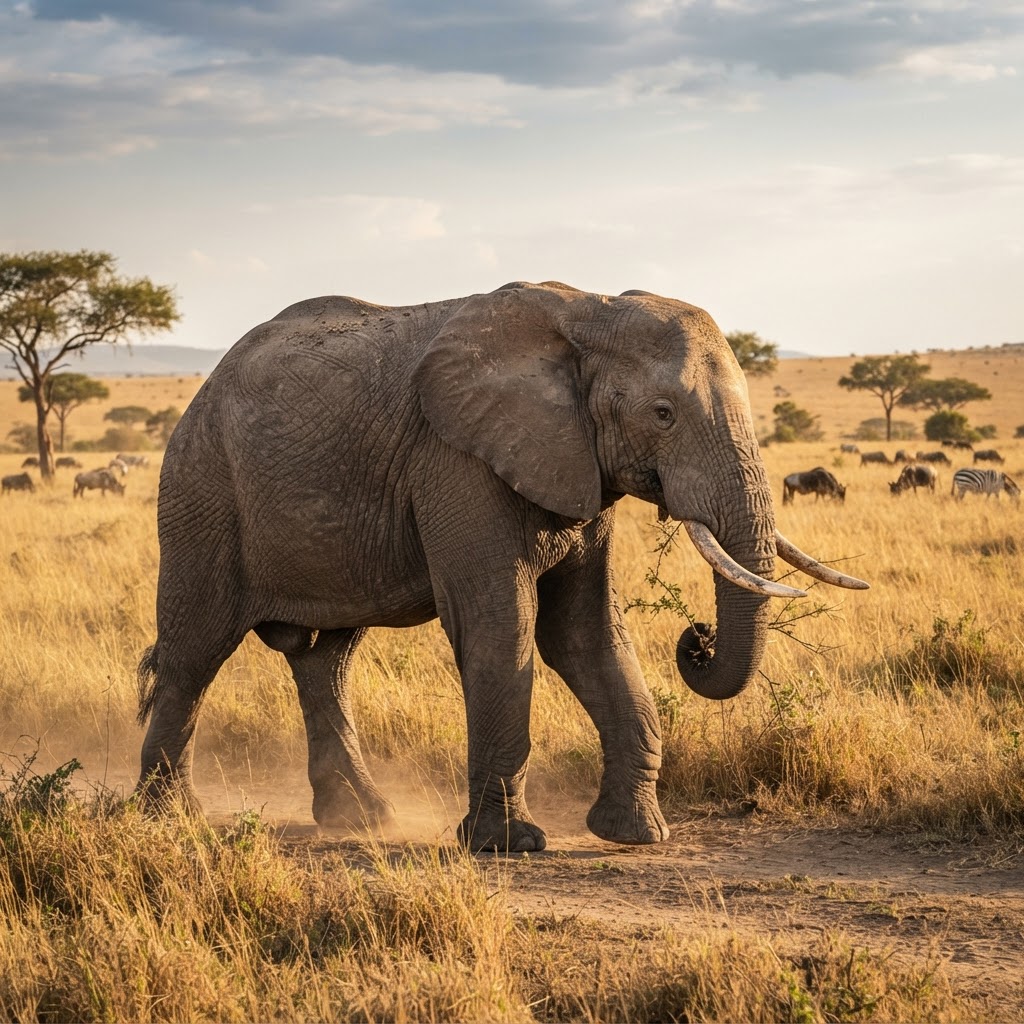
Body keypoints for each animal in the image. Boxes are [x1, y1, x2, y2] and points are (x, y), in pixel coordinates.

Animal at [136, 281, 867, 852]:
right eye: (663, 414)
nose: (698, 636)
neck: (589, 311)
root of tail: (208, 383)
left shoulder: (575, 463)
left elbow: (584, 634)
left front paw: (636, 835)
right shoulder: (457, 461)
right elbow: (499, 627)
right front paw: (508, 845)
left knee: (327, 659)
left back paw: (361, 820)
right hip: (201, 487)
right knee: (195, 652)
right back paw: (168, 819)